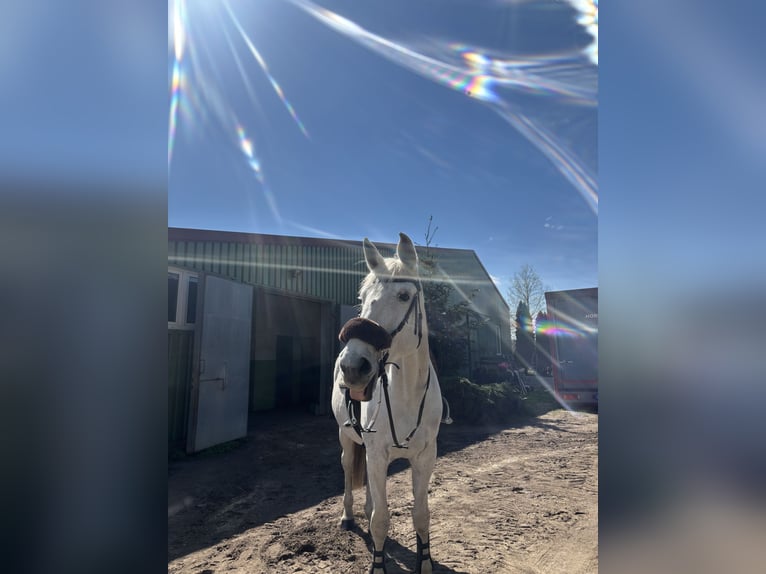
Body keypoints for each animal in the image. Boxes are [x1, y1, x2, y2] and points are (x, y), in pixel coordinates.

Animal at [332, 233, 444, 574]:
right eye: (363, 295)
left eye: (404, 295)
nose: (352, 366)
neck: (406, 393)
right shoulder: (378, 454)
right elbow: (380, 519)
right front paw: (378, 564)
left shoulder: (425, 457)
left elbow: (421, 515)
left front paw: (425, 562)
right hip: (347, 438)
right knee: (347, 470)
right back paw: (349, 516)